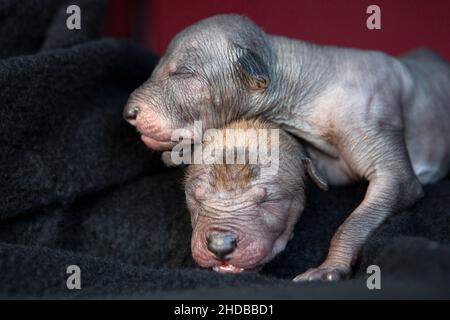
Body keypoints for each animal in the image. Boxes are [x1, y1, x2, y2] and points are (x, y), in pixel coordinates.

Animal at [123, 14, 450, 280]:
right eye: (156, 68)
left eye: (182, 73)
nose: (129, 112)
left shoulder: (373, 124)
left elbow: (373, 205)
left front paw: (329, 269)